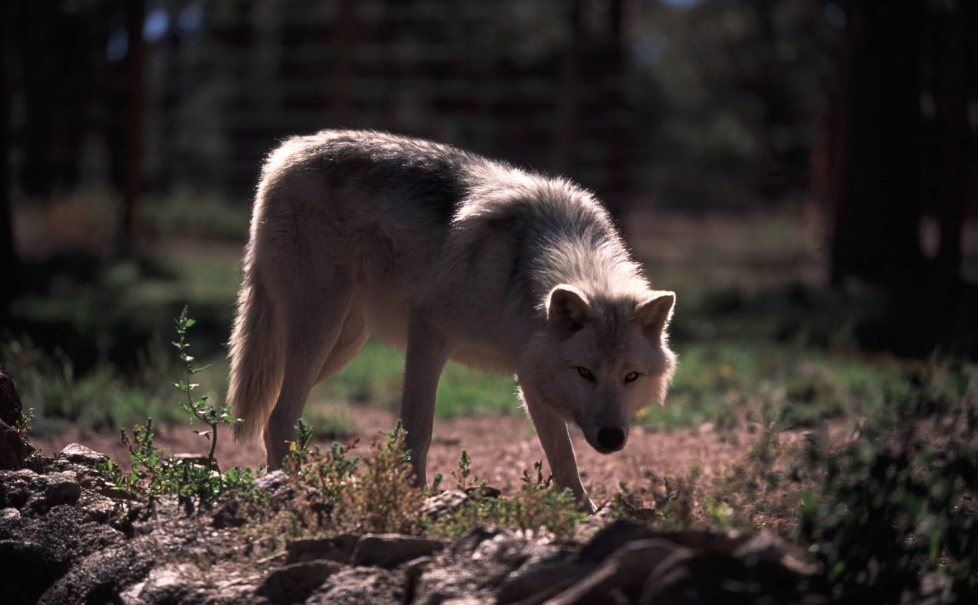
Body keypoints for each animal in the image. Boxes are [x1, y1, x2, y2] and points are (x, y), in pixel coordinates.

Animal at [225, 130, 676, 508]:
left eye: (631, 377)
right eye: (584, 372)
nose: (612, 438)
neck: (521, 270)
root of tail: (286, 153)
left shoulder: (530, 376)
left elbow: (563, 460)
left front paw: (584, 516)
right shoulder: (428, 333)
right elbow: (418, 430)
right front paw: (413, 501)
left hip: (340, 347)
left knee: (272, 412)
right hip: (321, 329)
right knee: (279, 417)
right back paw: (286, 491)